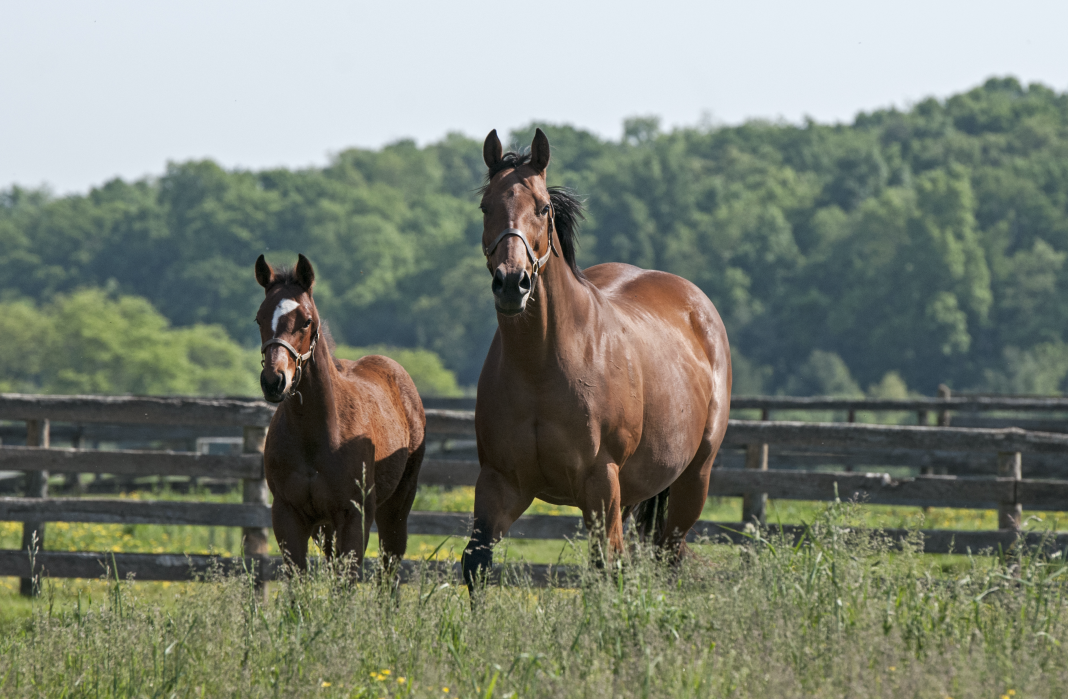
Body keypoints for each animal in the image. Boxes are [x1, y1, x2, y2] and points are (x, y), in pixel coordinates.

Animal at [255, 253, 426, 577]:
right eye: (259, 318)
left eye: (307, 321)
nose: (274, 382)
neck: (317, 435)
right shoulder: (287, 516)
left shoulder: (353, 516)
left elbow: (348, 579)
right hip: (326, 527)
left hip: (397, 504)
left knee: (390, 565)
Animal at [462, 129, 732, 588]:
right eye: (486, 206)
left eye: (543, 207)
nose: (512, 283)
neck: (542, 368)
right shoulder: (500, 483)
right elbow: (476, 563)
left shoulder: (600, 482)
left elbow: (607, 568)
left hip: (691, 481)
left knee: (667, 554)